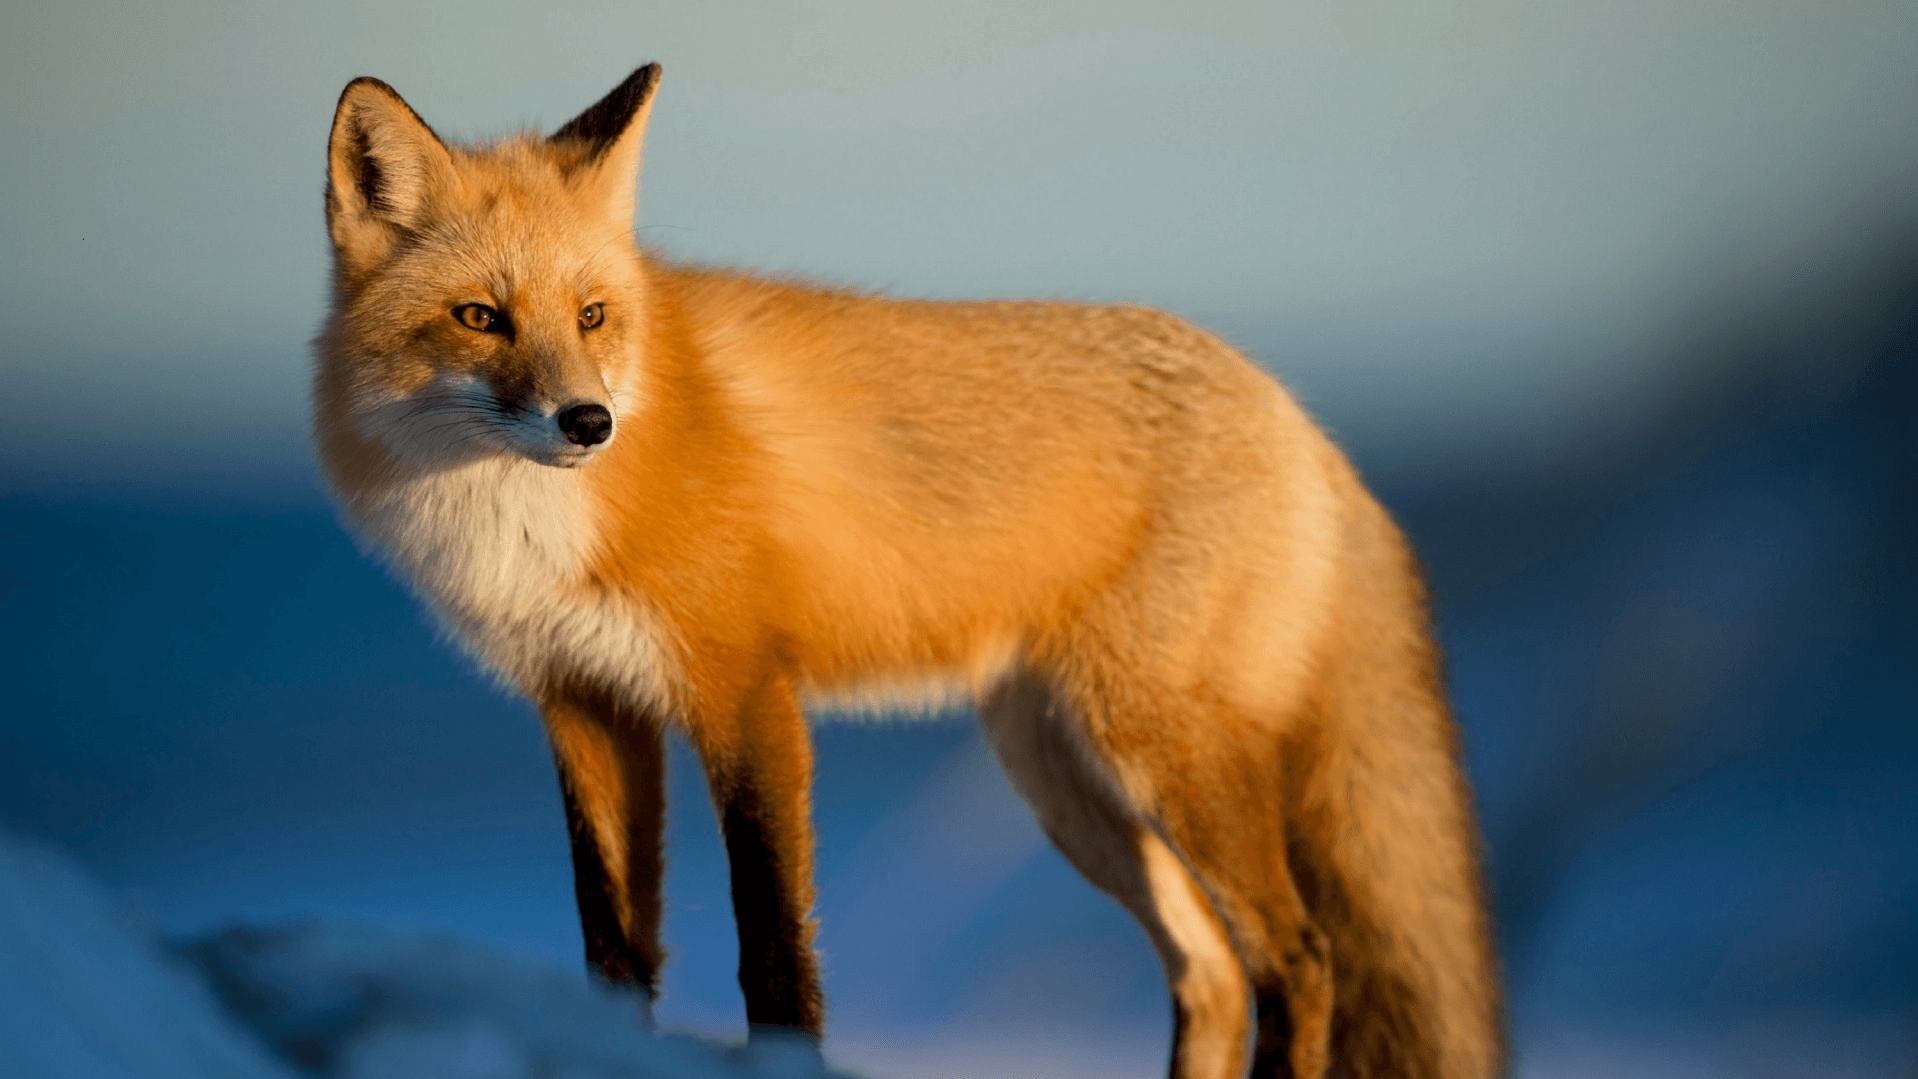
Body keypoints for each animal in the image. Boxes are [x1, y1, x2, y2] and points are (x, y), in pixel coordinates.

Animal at [313, 64, 1503, 1079]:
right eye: (481, 317)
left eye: (593, 315)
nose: (589, 422)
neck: (527, 527)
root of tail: (1297, 415)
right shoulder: (584, 702)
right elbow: (613, 949)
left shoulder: (746, 693)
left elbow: (773, 950)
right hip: (1064, 779)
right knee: (1209, 969)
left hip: (1162, 752)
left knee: (1299, 958)